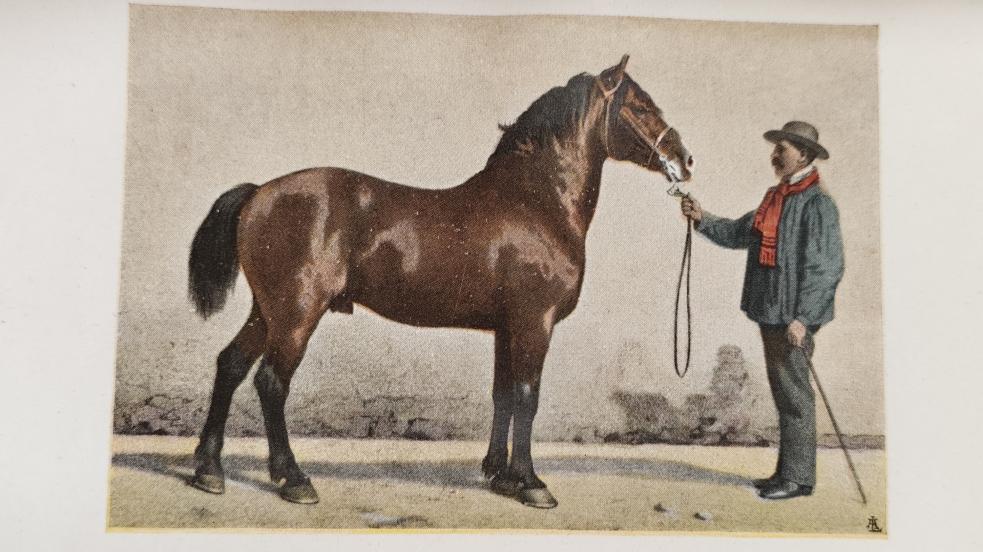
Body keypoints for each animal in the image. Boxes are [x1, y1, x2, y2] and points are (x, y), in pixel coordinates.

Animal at [187, 54, 693, 509]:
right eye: (641, 106)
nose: (685, 159)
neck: (537, 202)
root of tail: (259, 193)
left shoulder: (507, 327)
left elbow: (503, 395)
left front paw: (500, 475)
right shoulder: (535, 323)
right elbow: (527, 397)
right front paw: (531, 483)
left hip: (268, 311)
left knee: (231, 365)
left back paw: (209, 471)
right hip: (296, 314)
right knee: (272, 382)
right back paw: (293, 479)